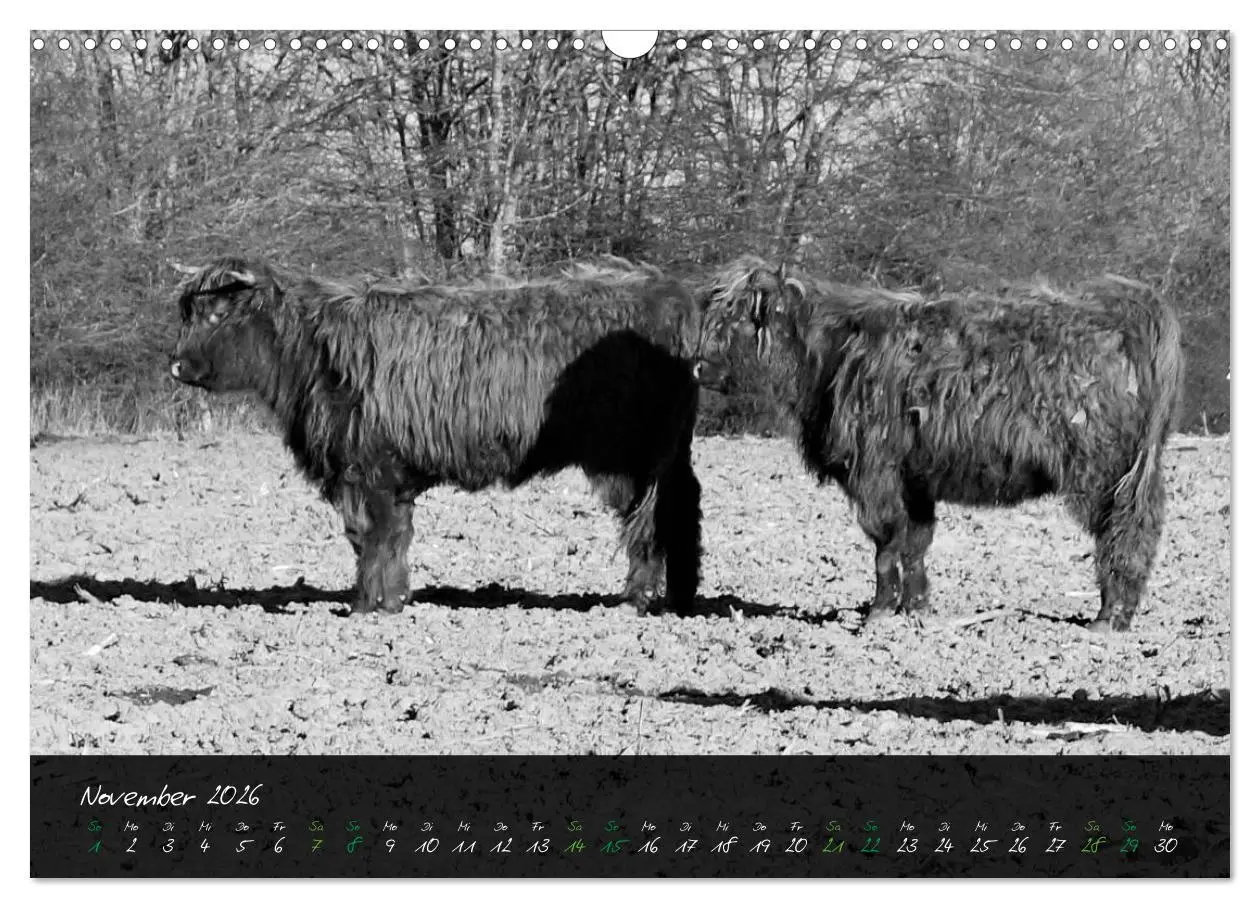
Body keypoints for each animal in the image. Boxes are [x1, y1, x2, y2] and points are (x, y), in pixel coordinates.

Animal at [703, 258, 1184, 632]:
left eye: (734, 318)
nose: (697, 365)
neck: (827, 354)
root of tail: (1121, 312)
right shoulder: (914, 479)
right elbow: (915, 544)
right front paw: (917, 610)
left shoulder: (874, 470)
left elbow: (886, 545)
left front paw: (878, 615)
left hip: (1104, 471)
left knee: (1123, 531)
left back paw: (1108, 619)